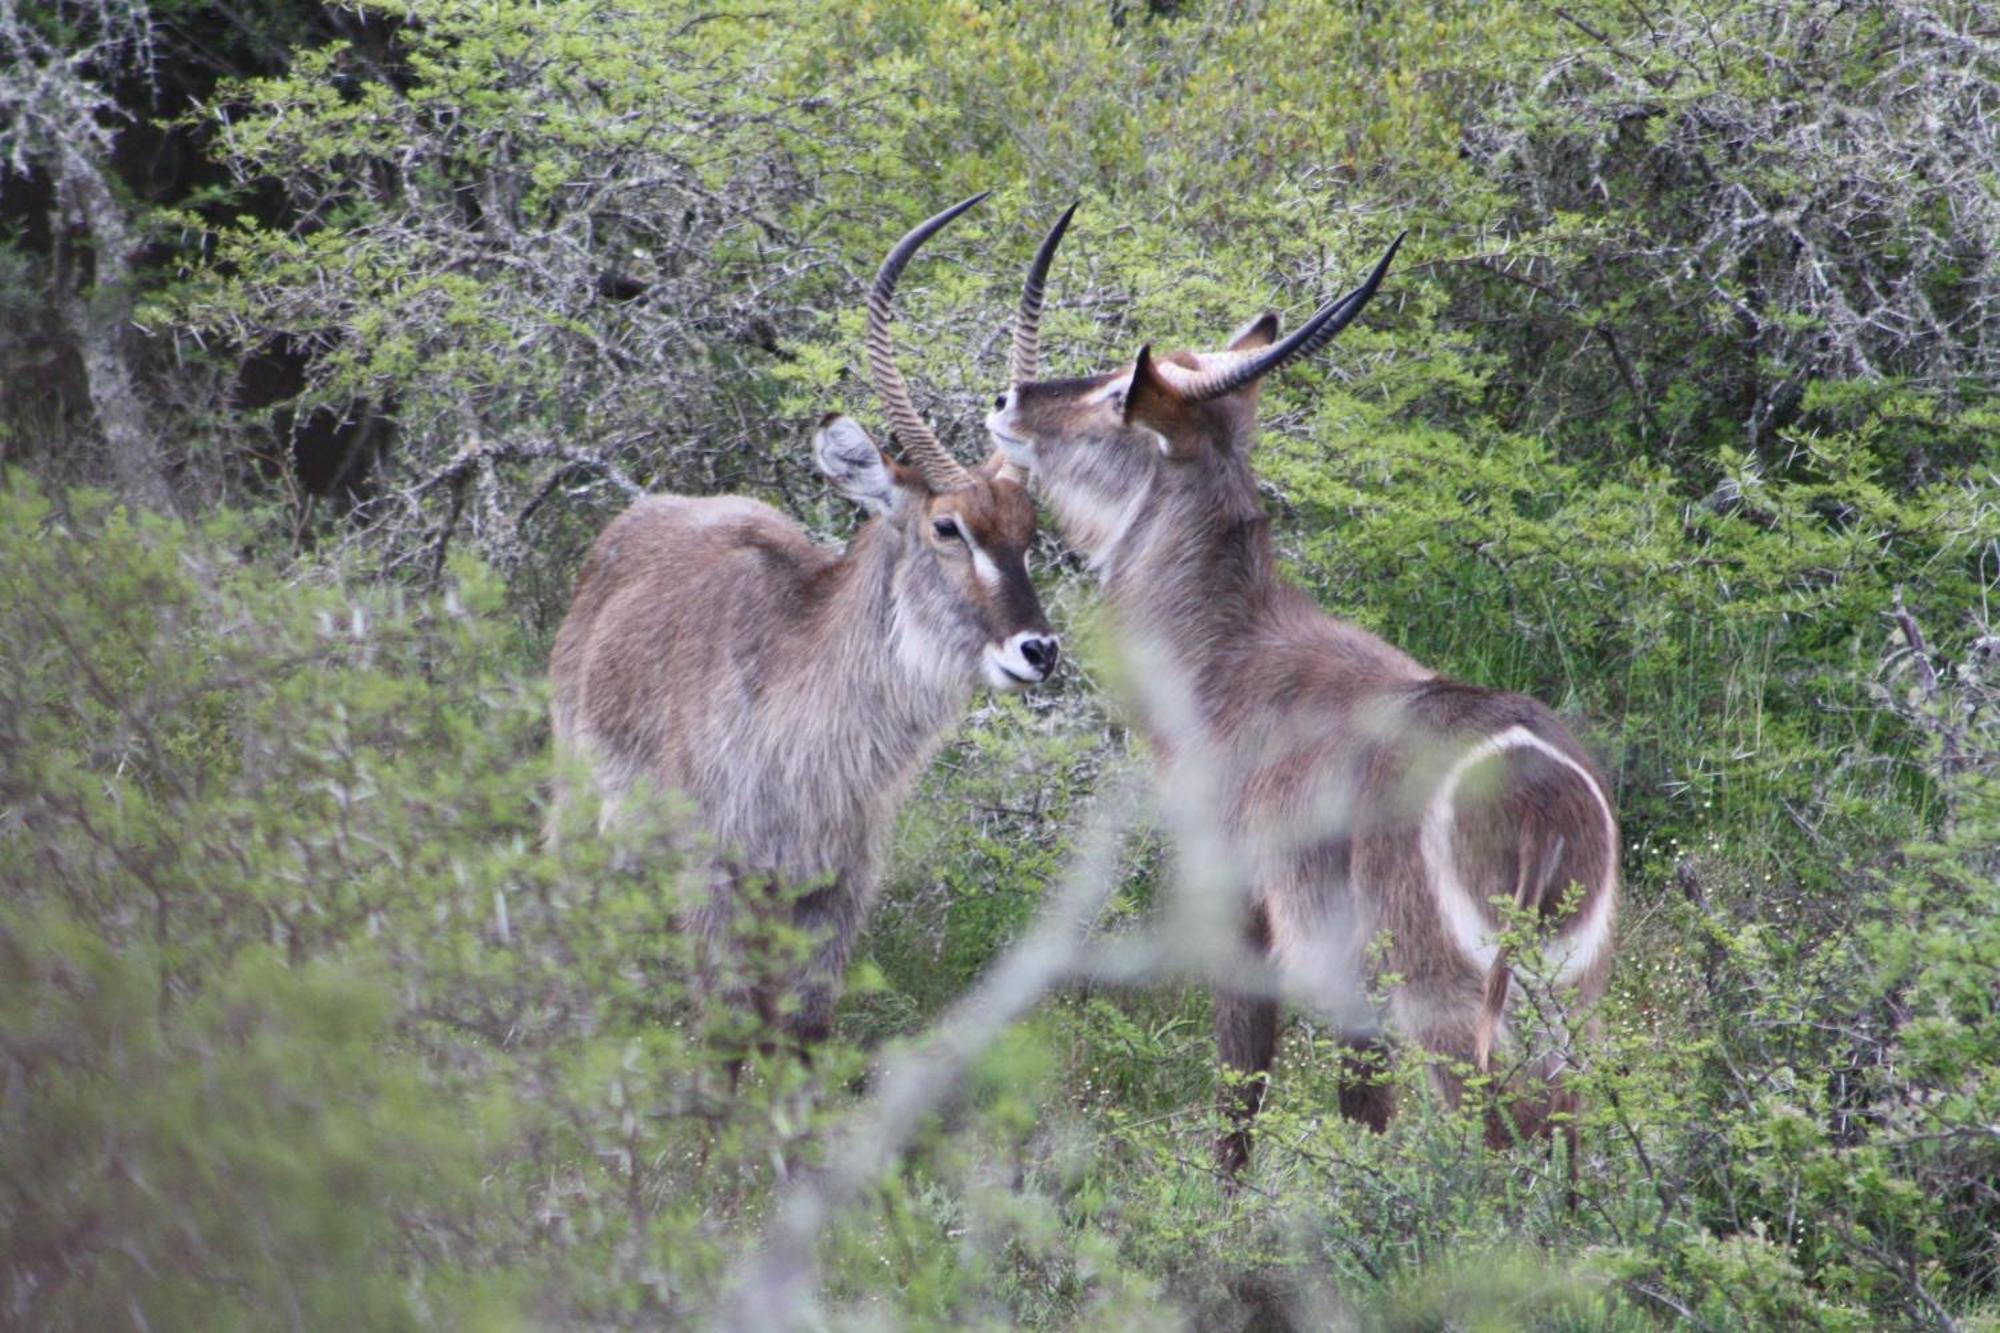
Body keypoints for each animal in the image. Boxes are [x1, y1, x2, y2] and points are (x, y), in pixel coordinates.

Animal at [552, 195, 1064, 1048]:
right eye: (948, 526)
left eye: (1031, 527)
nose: (1040, 649)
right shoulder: (715, 874)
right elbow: (725, 1031)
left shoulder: (836, 889)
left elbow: (804, 1029)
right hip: (592, 814)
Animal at [984, 233, 1624, 1168]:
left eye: (1114, 395)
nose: (1007, 400)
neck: (1230, 650)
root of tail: (1540, 787)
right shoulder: (1354, 986)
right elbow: (1365, 1108)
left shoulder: (1243, 911)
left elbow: (1238, 1093)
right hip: (1569, 1002)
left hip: (1447, 995)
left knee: (1491, 1147)